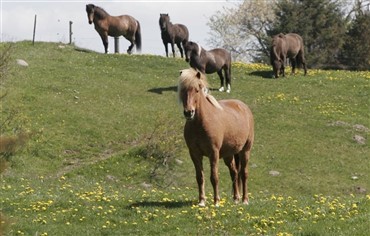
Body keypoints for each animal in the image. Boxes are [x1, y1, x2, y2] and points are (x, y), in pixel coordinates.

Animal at [177, 68, 254, 206]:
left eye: (197, 90)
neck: (201, 123)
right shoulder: (194, 153)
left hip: (245, 150)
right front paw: (201, 201)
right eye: (183, 90)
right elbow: (200, 177)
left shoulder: (213, 153)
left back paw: (245, 200)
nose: (189, 112)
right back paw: (236, 198)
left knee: (244, 173)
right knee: (234, 172)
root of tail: (244, 107)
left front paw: (216, 201)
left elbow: (214, 177)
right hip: (229, 154)